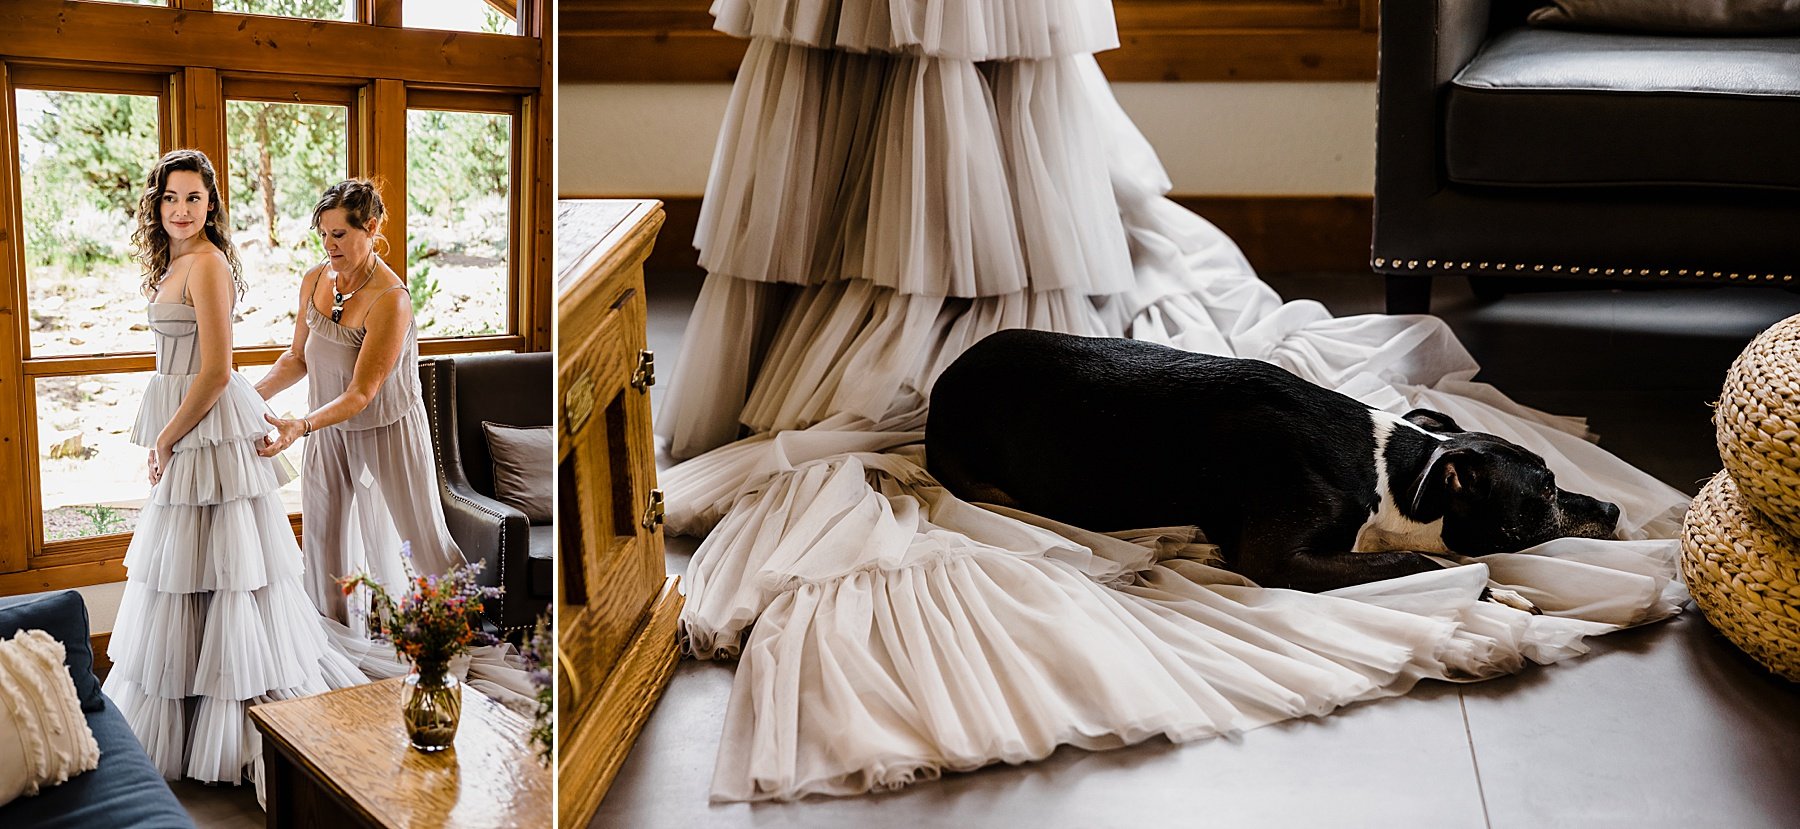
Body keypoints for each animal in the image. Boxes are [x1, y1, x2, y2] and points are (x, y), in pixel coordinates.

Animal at [928, 329, 1620, 593]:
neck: (1389, 475)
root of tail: (946, 376)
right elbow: (1417, 559)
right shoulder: (1277, 559)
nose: (1613, 508)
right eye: (1545, 492)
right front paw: (1497, 593)